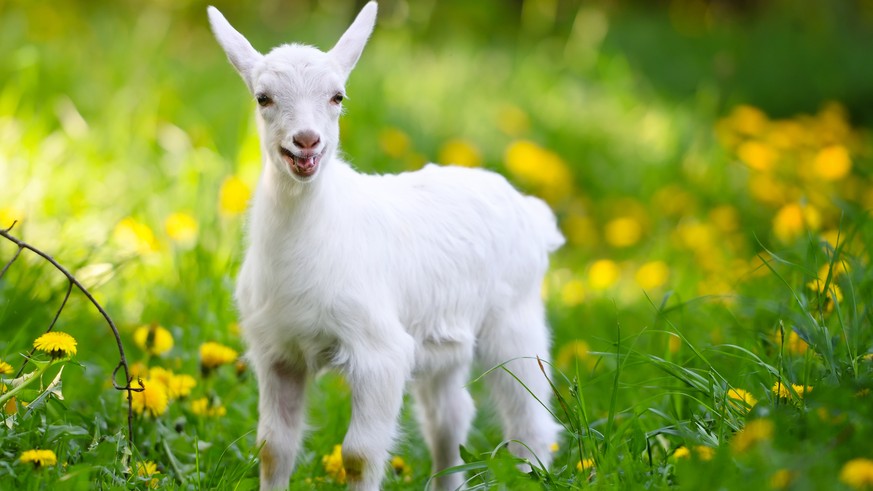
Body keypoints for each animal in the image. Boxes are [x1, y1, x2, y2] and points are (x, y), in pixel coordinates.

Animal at [208, 3, 563, 490]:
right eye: (263, 98)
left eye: (338, 96)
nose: (306, 141)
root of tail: (531, 211)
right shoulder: (278, 352)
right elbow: (273, 448)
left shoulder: (380, 352)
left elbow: (358, 454)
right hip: (443, 340)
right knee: (450, 416)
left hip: (515, 318)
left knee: (530, 421)